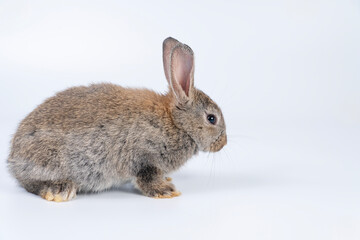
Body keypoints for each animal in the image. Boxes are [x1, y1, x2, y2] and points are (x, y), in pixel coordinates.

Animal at [7, 37, 226, 202]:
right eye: (211, 118)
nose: (223, 143)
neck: (176, 123)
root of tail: (13, 158)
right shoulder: (144, 156)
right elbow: (147, 177)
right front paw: (166, 191)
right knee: (31, 183)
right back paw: (59, 190)